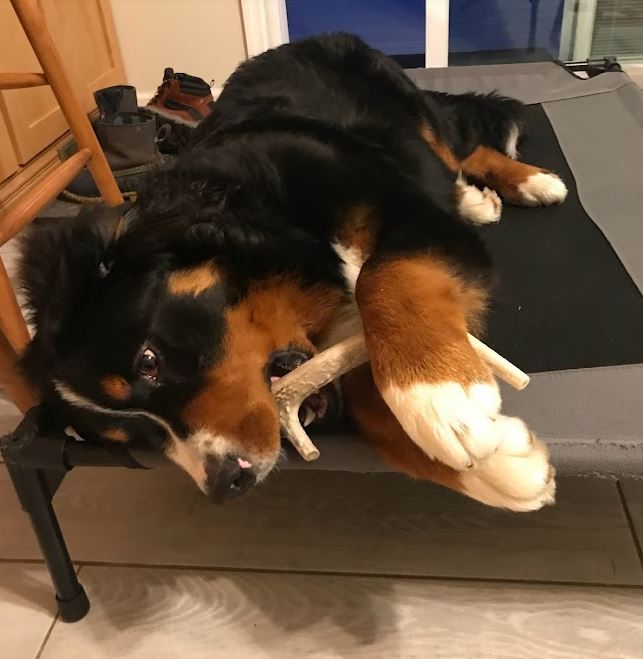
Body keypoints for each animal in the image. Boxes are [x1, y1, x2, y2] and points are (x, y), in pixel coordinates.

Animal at [17, 33, 568, 512]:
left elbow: (383, 277)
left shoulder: (414, 215)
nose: (224, 482)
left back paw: (522, 184)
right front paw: (504, 468)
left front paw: (444, 401)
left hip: (412, 117)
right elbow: (371, 413)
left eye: (148, 361)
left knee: (458, 144)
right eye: (137, 436)